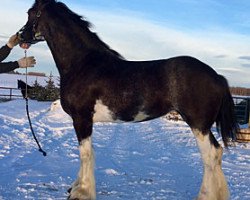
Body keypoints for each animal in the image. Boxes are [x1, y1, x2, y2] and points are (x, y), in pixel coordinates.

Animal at [18, 0, 237, 199]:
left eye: (31, 13)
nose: (20, 36)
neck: (83, 64)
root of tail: (217, 76)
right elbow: (88, 153)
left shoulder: (81, 119)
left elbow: (85, 154)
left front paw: (82, 192)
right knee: (216, 154)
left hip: (198, 125)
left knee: (210, 156)